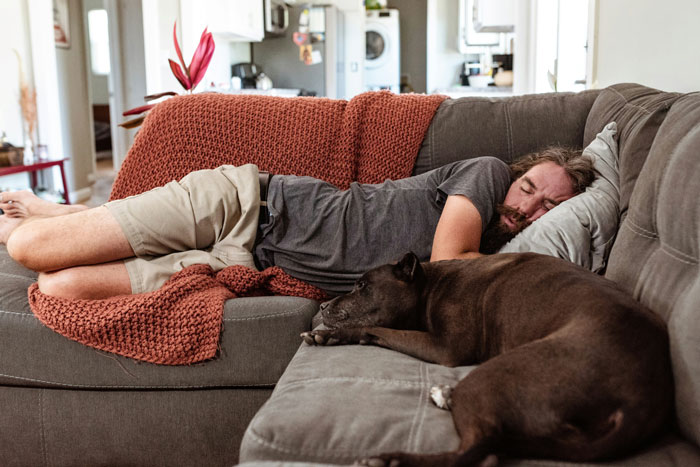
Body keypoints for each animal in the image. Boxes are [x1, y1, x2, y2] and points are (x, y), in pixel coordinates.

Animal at [300, 254, 672, 466]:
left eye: (362, 286)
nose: (323, 305)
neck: (429, 285)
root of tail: (641, 402)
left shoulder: (446, 347)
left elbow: (377, 328)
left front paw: (333, 333)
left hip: (494, 375)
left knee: (477, 452)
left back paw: (390, 459)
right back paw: (445, 396)